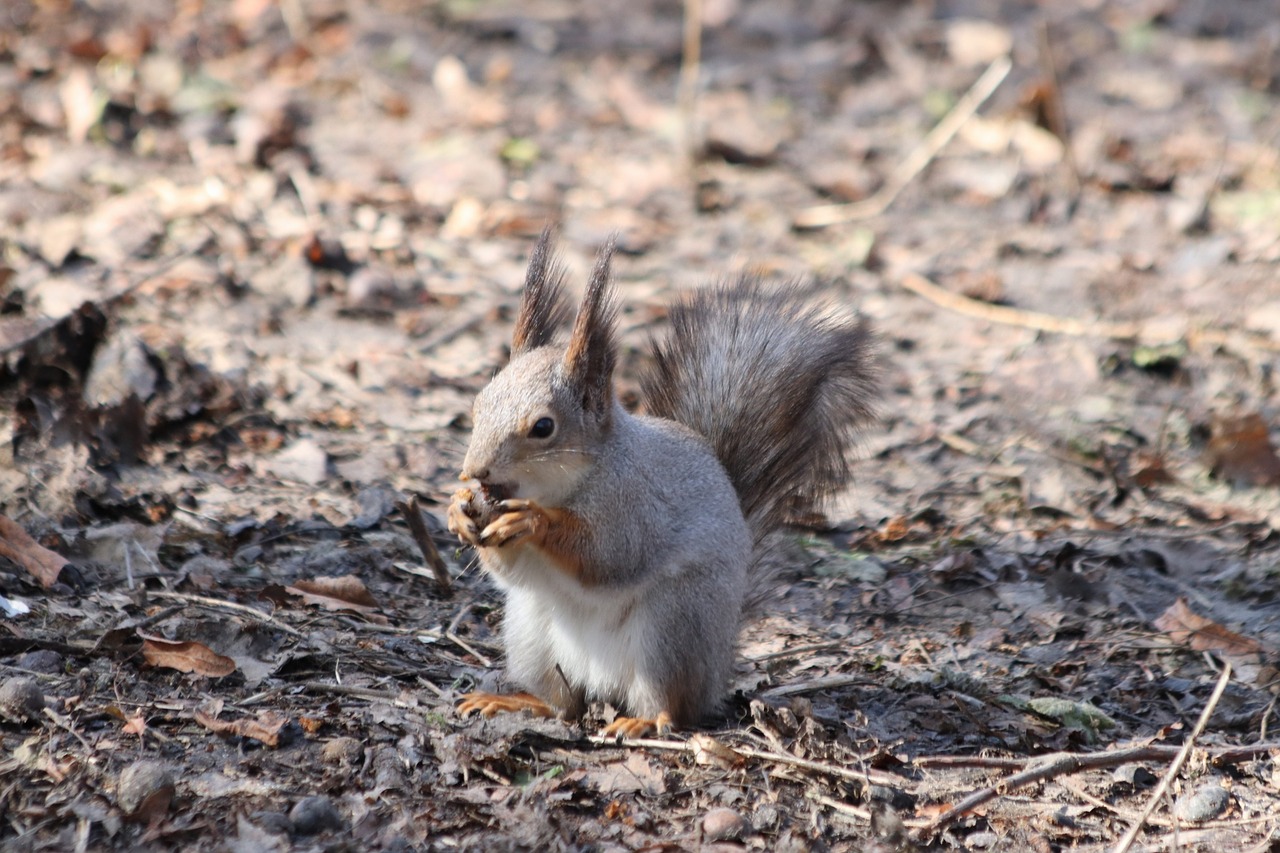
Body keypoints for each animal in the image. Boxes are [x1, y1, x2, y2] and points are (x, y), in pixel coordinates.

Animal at [445, 229, 875, 732]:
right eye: (478, 404)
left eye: (543, 427)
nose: (474, 471)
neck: (562, 485)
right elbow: (509, 571)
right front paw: (458, 509)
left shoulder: (636, 504)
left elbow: (609, 556)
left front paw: (533, 521)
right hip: (531, 632)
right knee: (564, 705)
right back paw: (517, 702)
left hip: (672, 628)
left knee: (674, 707)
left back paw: (645, 721)